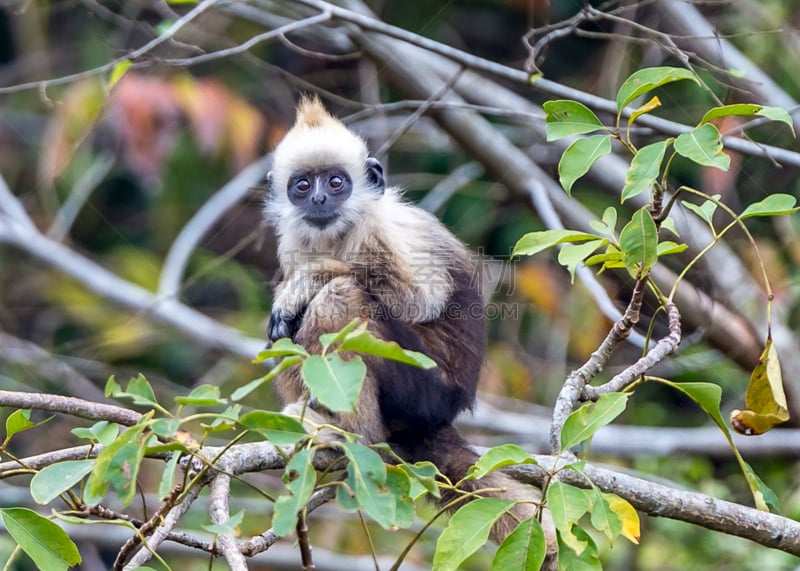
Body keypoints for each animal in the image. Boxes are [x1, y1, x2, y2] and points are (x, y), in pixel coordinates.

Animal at [266, 96, 552, 556]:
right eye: (303, 186)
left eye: (336, 181)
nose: (320, 200)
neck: (341, 232)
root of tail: (448, 410)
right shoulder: (295, 238)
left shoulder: (381, 233)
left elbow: (417, 300)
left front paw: (305, 282)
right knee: (289, 336)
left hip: (423, 393)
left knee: (338, 298)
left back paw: (352, 435)